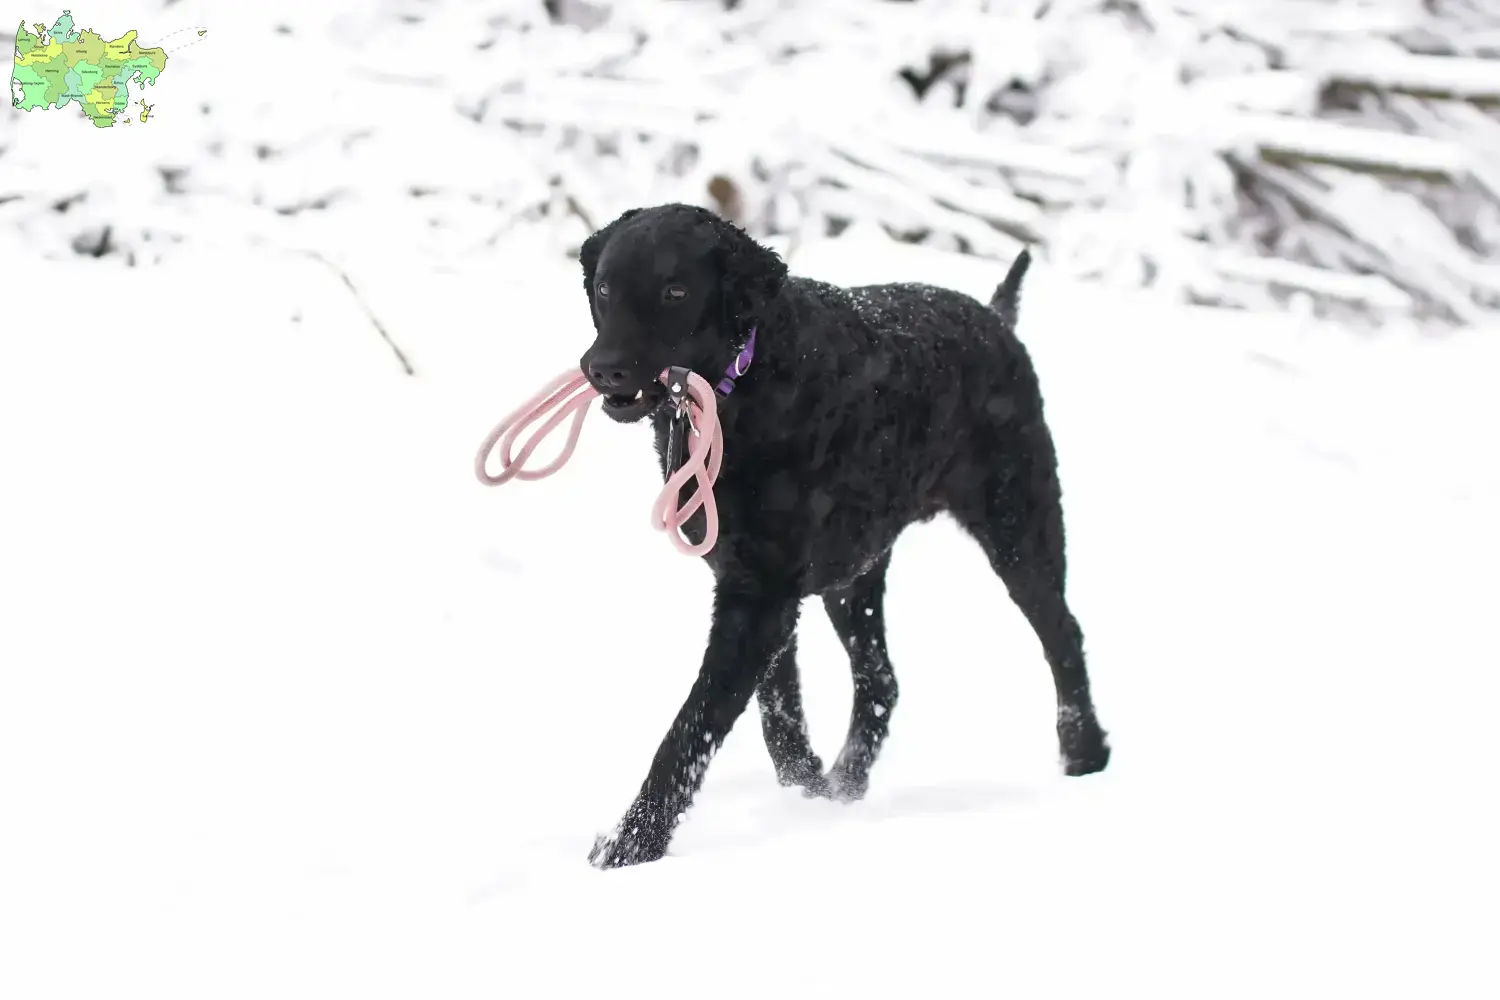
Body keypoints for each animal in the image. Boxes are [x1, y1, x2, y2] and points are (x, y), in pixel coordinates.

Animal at [579, 203, 1110, 869]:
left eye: (675, 291)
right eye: (605, 289)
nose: (603, 368)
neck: (751, 385)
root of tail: (994, 317)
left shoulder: (761, 597)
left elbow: (692, 726)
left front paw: (631, 845)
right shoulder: (755, 583)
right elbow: (776, 707)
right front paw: (803, 785)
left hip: (1020, 529)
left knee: (1063, 635)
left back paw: (1085, 754)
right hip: (854, 574)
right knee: (881, 680)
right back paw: (845, 784)